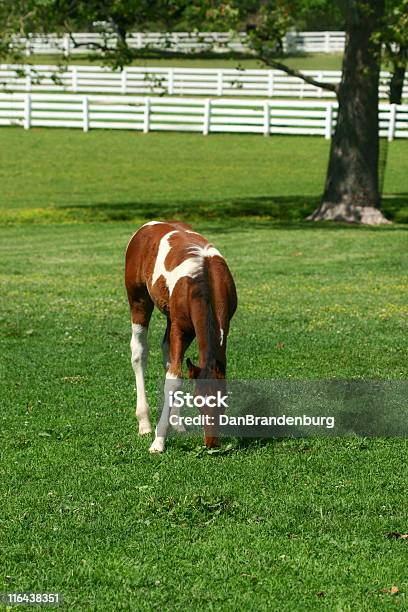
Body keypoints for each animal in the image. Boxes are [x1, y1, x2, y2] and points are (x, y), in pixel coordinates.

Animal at [126, 222, 237, 452]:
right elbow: (174, 379)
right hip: (138, 301)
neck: (204, 279)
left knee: (167, 354)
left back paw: (176, 423)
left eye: (223, 403)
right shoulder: (181, 328)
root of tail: (147, 226)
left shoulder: (223, 327)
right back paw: (144, 423)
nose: (211, 444)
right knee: (139, 353)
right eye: (197, 402)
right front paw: (158, 442)